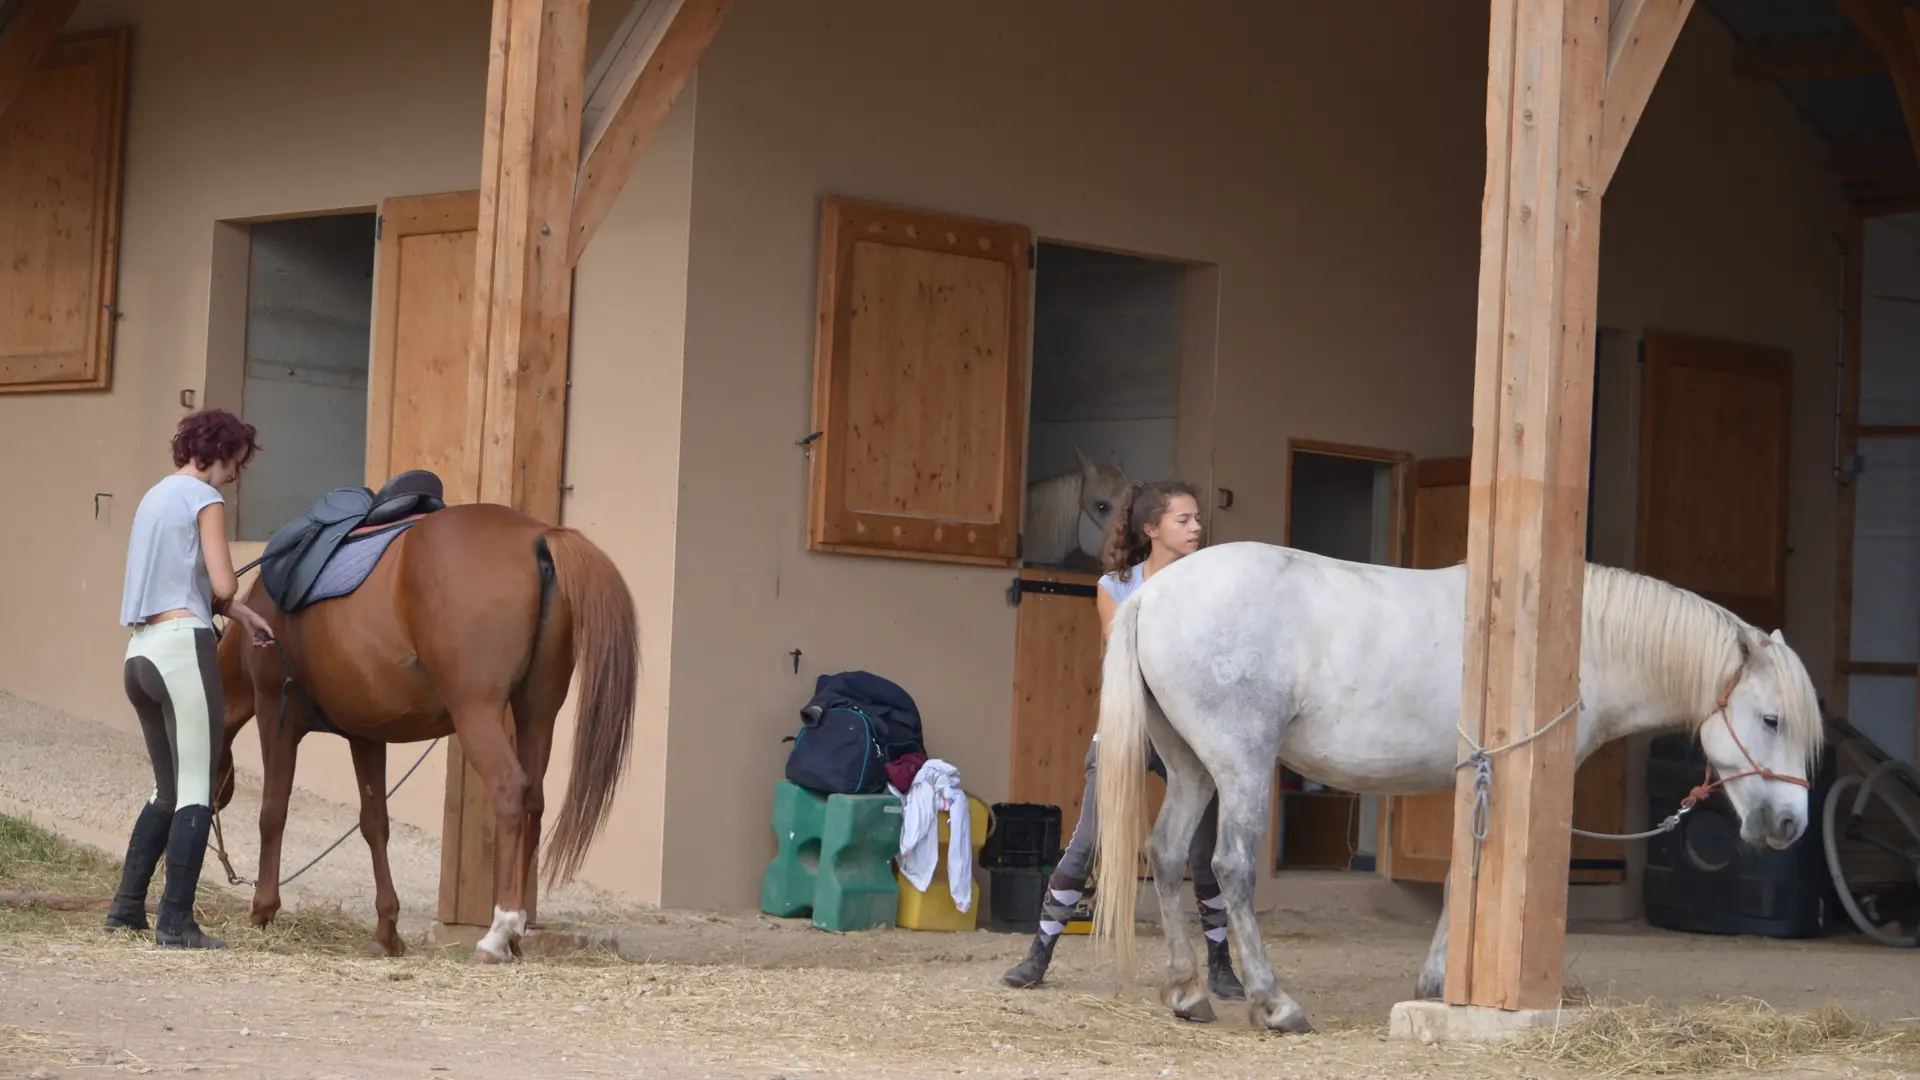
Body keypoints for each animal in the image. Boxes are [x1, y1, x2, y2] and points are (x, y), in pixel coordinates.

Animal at [210, 500, 639, 963]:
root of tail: (539, 536)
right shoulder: (366, 736)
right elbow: (374, 824)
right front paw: (386, 931)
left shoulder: (276, 716)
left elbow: (272, 813)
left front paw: (262, 910)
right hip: (537, 712)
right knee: (535, 803)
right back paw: (516, 933)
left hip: (477, 713)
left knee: (511, 792)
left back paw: (498, 932)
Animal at [1088, 542, 1824, 1032]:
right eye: (1771, 719)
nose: (1791, 825)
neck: (1573, 642)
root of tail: (1155, 592)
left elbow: (1455, 880)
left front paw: (1439, 981)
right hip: (1238, 766)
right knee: (1231, 867)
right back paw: (1275, 1003)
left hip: (1190, 767)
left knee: (1165, 854)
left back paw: (1187, 993)